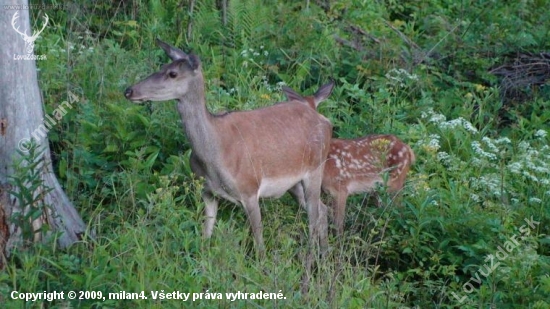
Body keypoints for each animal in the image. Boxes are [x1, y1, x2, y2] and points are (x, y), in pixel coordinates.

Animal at [125, 39, 332, 255]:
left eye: (173, 73)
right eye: (162, 67)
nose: (129, 91)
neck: (216, 156)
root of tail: (321, 117)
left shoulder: (249, 189)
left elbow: (259, 243)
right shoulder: (207, 191)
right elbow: (206, 235)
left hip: (315, 168)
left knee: (314, 216)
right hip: (293, 183)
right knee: (323, 210)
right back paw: (325, 255)